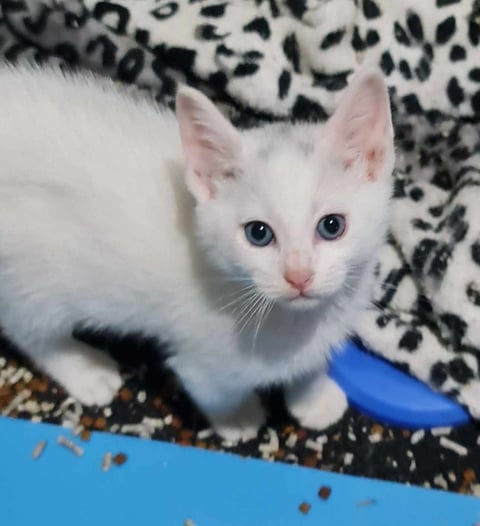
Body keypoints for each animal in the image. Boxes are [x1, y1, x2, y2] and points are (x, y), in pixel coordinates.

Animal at [0, 64, 394, 444]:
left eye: (332, 225)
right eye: (258, 233)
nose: (299, 275)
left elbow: (310, 364)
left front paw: (313, 398)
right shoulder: (201, 360)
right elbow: (215, 390)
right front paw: (238, 418)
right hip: (32, 275)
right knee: (28, 329)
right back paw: (85, 370)